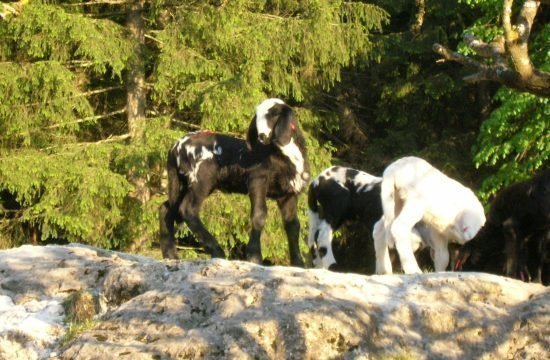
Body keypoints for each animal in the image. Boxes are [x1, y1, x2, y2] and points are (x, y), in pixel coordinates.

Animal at [162, 97, 312, 266]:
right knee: (187, 209)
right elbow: (259, 215)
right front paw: (254, 257)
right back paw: (217, 251)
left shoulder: (288, 193)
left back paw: (170, 255)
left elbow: (293, 225)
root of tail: (175, 147)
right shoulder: (257, 180)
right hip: (201, 177)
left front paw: (298, 263)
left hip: (182, 181)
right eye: (256, 116)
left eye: (274, 114)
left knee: (167, 208)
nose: (261, 136)